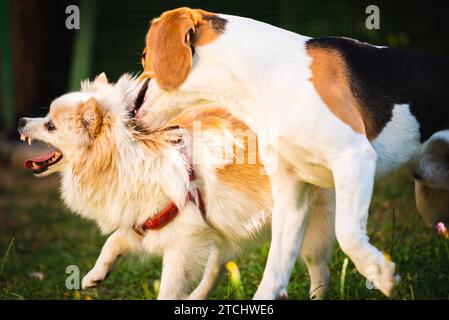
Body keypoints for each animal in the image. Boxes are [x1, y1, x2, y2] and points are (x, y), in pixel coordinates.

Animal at [137, 7, 448, 298]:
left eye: (143, 55)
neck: (268, 78)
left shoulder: (354, 158)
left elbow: (347, 233)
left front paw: (381, 274)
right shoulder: (291, 194)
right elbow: (274, 271)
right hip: (430, 196)